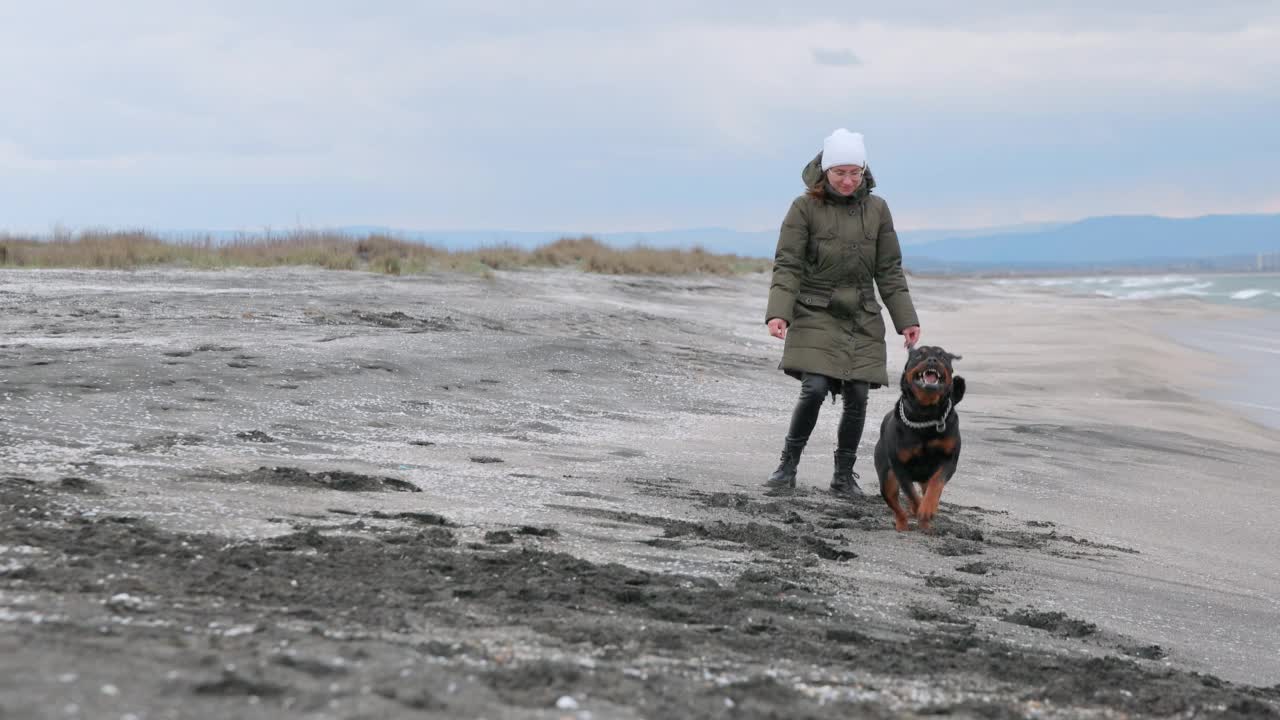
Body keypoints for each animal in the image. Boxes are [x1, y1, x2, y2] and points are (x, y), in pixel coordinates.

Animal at [875, 345, 962, 530]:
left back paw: (926, 524)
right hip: (886, 478)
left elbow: (937, 483)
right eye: (919, 354)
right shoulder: (899, 466)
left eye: (942, 355)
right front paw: (918, 509)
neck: (925, 413)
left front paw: (928, 509)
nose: (932, 360)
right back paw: (903, 525)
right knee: (896, 504)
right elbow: (911, 494)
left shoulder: (949, 460)